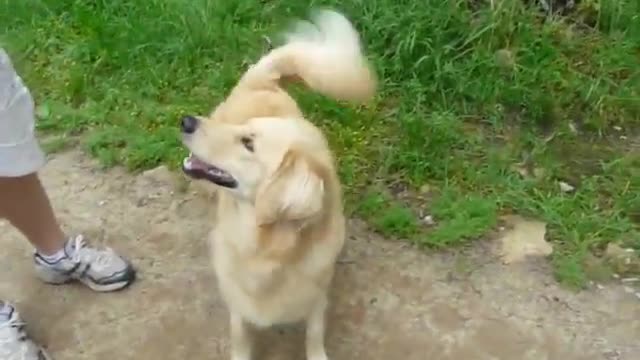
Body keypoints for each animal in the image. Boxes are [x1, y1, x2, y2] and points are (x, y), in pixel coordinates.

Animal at [180, 9, 378, 360]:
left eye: (248, 143)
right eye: (243, 132)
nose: (186, 121)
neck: (267, 250)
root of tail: (265, 78)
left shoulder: (315, 298)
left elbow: (314, 335)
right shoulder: (239, 303)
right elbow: (240, 337)